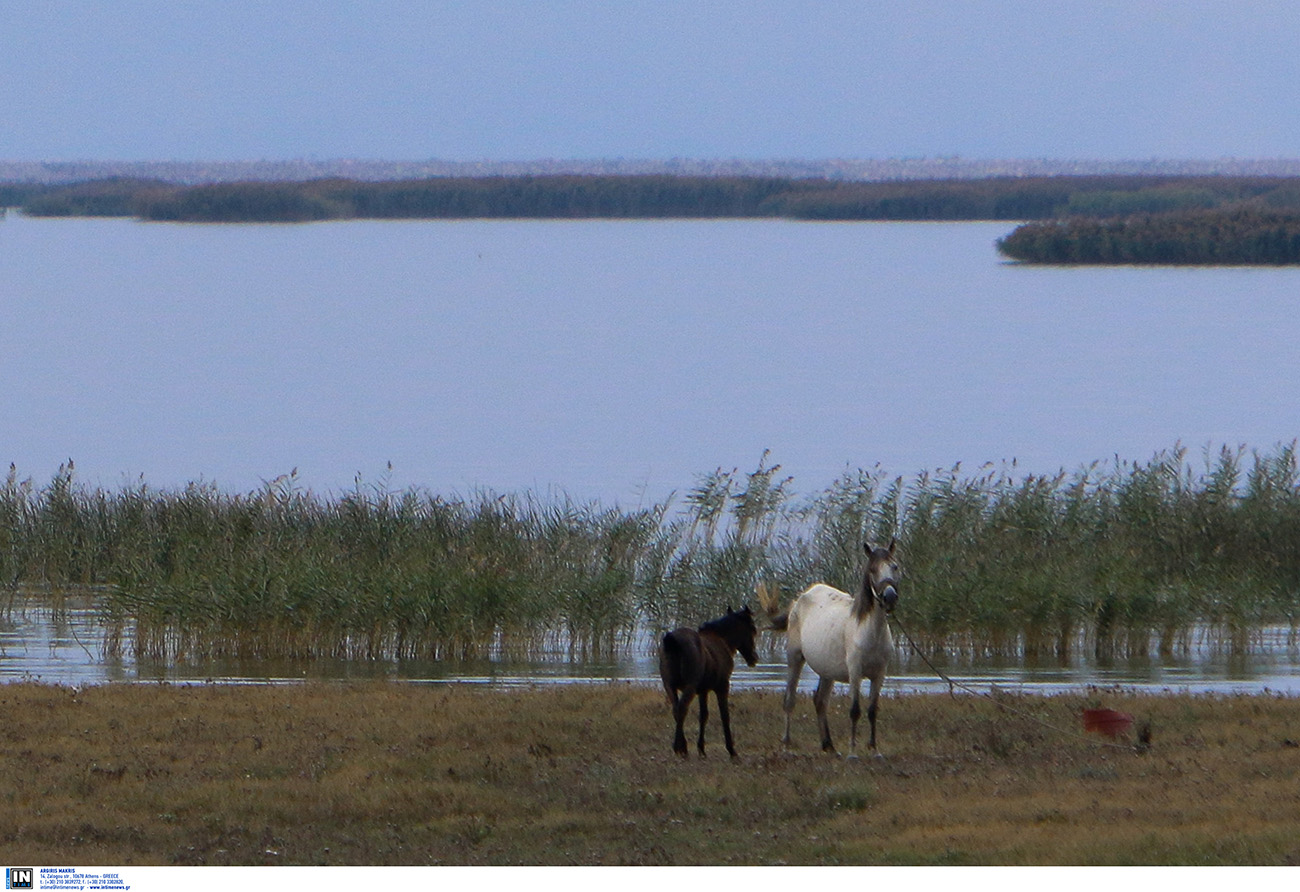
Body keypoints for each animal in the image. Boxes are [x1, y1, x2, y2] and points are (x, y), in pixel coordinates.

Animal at [764, 540, 899, 759]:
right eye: (872, 569)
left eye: (894, 567)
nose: (889, 597)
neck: (868, 630)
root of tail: (800, 598)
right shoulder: (855, 672)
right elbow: (855, 710)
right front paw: (853, 753)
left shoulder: (879, 674)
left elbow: (872, 710)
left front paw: (875, 750)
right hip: (795, 657)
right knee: (789, 699)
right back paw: (786, 744)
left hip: (826, 671)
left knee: (820, 701)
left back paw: (828, 745)